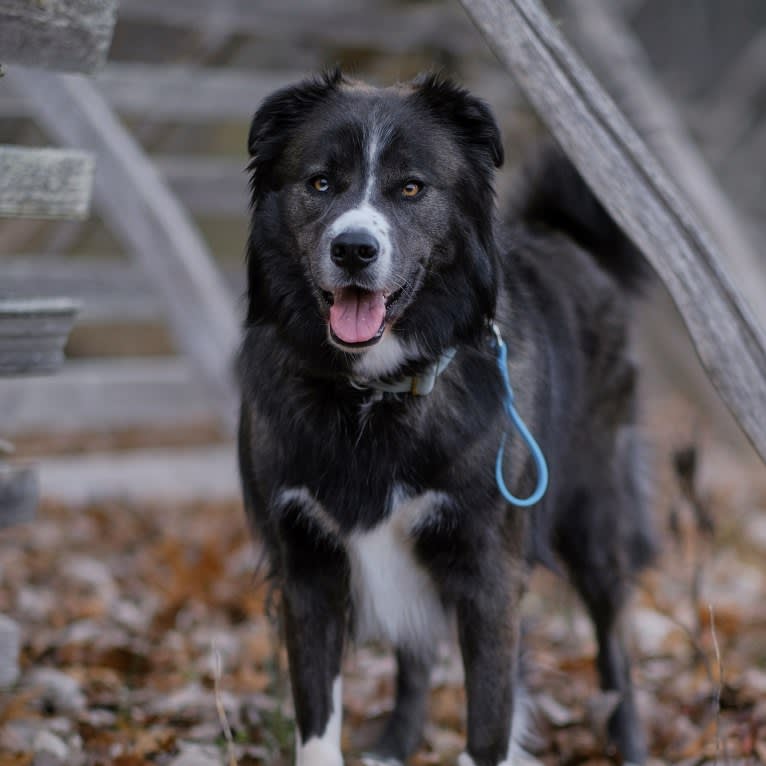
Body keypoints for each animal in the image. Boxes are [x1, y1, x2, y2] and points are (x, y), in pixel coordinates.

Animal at [238, 72, 656, 766]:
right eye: (320, 183)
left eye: (411, 187)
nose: (353, 249)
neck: (373, 393)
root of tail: (566, 237)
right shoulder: (307, 567)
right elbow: (318, 720)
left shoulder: (489, 571)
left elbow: (487, 720)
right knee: (416, 655)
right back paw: (395, 744)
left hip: (594, 516)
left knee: (613, 645)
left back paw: (629, 742)